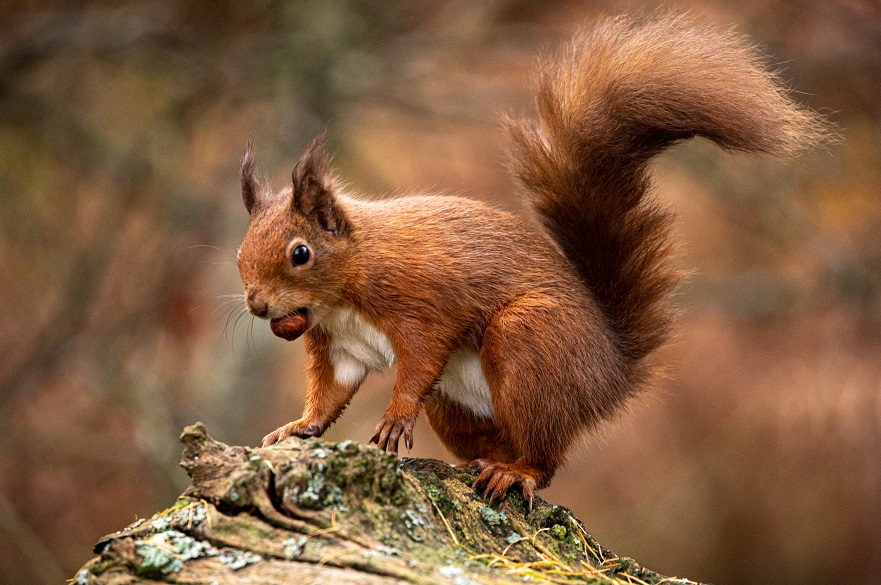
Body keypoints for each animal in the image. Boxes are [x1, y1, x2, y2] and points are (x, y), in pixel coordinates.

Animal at [235, 13, 824, 506]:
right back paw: (487, 463)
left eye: (300, 253)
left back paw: (516, 473)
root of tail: (612, 372)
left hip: (529, 341)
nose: (258, 306)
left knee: (546, 458)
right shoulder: (340, 346)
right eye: (240, 255)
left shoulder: (419, 302)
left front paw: (397, 416)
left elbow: (420, 358)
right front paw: (297, 427)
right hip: (456, 402)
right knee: (504, 443)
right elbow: (330, 393)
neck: (345, 290)